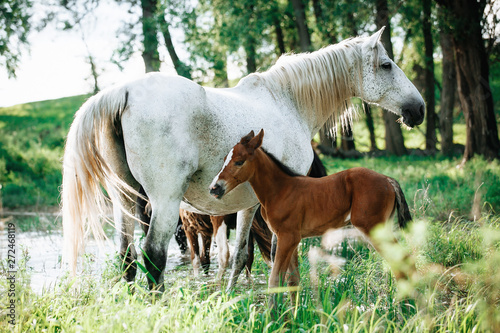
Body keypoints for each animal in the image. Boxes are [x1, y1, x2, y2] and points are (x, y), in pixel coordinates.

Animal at [209, 129, 412, 294]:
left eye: (239, 162)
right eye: (224, 160)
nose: (214, 188)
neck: (280, 189)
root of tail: (388, 179)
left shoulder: (288, 237)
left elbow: (275, 279)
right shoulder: (290, 239)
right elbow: (292, 280)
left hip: (373, 229)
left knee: (401, 261)